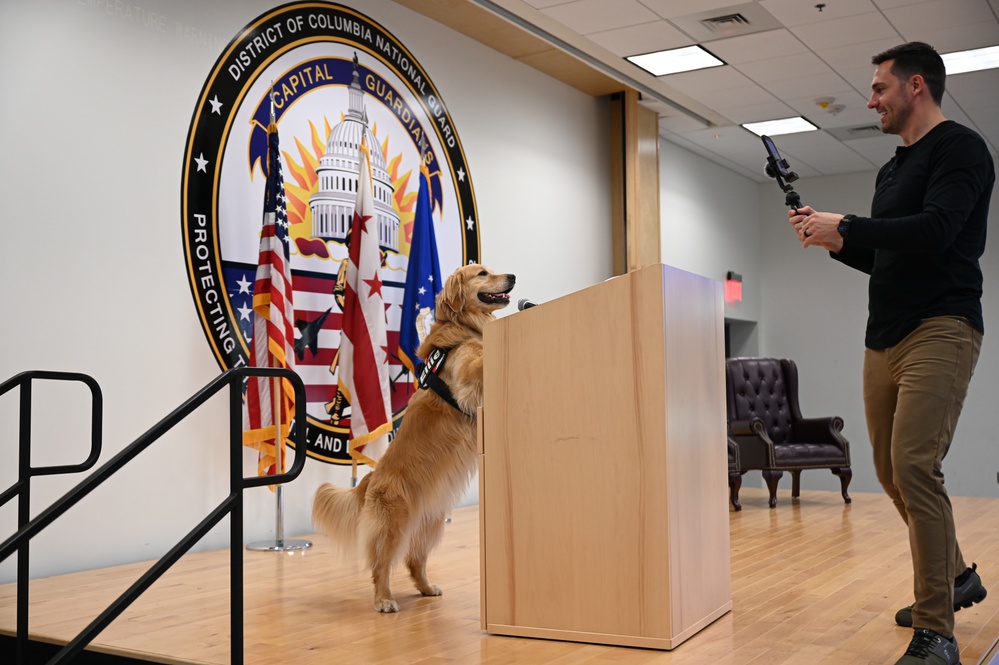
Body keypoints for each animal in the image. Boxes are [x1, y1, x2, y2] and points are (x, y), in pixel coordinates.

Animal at [312, 264, 516, 612]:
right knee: (380, 565)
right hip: (392, 525)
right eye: (482, 273)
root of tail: (370, 480)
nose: (513, 277)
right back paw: (384, 600)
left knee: (413, 560)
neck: (463, 327)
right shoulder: (466, 378)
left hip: (430, 525)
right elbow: (478, 362)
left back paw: (426, 588)